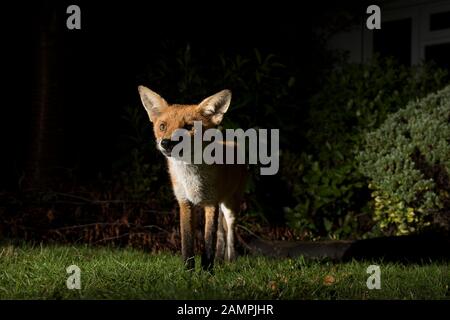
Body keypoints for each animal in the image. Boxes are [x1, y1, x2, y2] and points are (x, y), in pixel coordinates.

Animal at [139, 86, 248, 272]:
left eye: (189, 127)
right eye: (162, 126)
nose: (165, 143)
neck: (191, 179)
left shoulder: (211, 203)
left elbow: (208, 241)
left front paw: (207, 271)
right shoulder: (184, 202)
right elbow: (187, 241)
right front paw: (188, 271)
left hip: (230, 205)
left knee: (230, 232)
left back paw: (231, 261)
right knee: (221, 234)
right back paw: (220, 261)